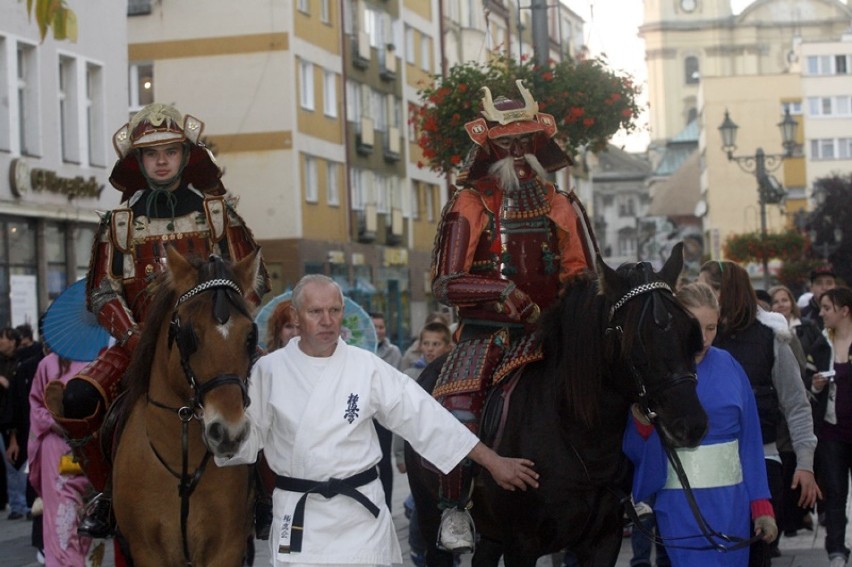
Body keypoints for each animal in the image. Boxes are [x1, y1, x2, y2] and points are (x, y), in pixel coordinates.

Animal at [410, 243, 708, 567]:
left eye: (690, 336)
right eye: (637, 345)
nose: (692, 424)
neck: (581, 438)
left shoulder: (604, 539)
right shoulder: (521, 545)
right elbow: (447, 280)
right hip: (430, 520)